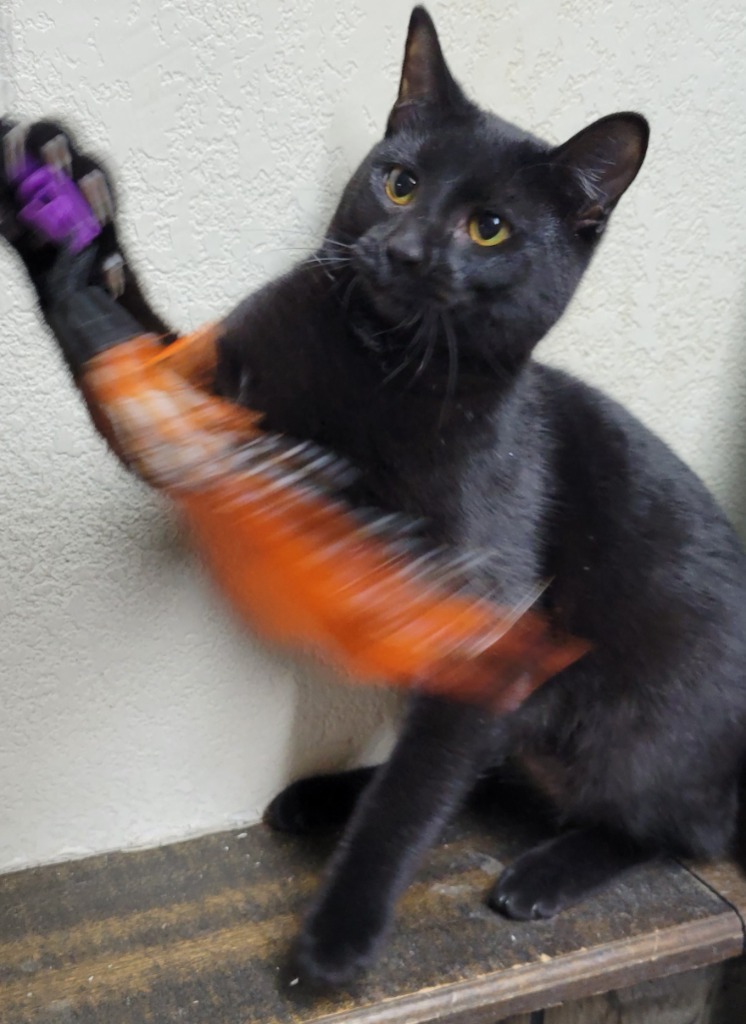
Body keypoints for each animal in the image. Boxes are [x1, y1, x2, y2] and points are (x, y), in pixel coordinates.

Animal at [4, 0, 744, 991]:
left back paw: (544, 872)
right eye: (398, 183)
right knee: (486, 763)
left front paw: (338, 936)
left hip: (643, 723)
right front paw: (66, 233)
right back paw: (325, 798)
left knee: (670, 827)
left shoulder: (484, 611)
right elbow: (123, 352)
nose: (404, 247)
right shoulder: (218, 423)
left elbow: (413, 799)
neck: (377, 365)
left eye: (489, 229)